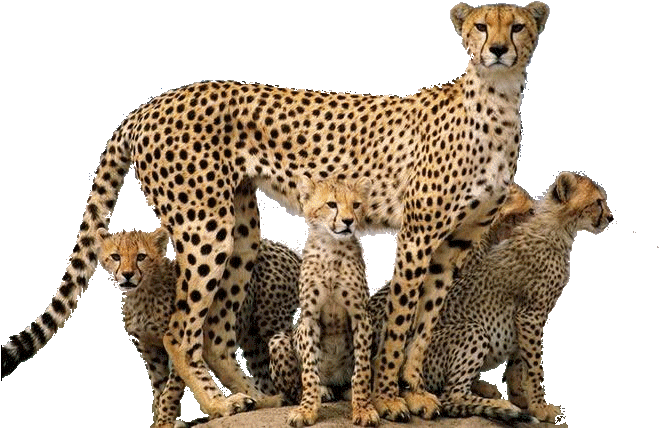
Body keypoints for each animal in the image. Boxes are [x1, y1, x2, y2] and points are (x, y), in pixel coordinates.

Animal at [269, 177, 379, 427]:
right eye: (331, 204)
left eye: (356, 205)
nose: (348, 221)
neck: (332, 247)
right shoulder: (309, 319)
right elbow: (309, 370)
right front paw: (307, 409)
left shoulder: (361, 316)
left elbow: (362, 369)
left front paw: (363, 408)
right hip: (278, 340)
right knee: (294, 389)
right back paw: (321, 391)